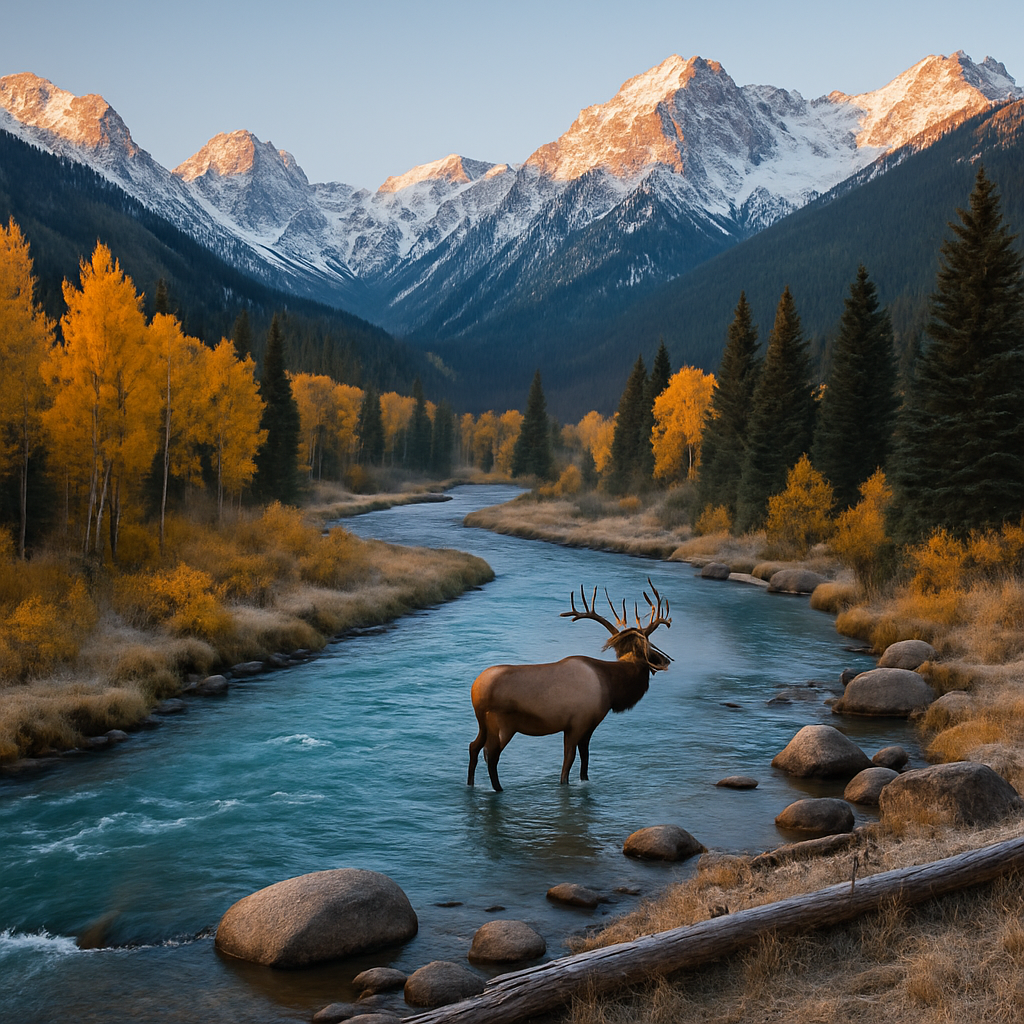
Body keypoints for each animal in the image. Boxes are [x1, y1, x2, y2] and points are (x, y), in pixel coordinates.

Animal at [467, 579, 672, 792]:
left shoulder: (587, 726)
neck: (611, 687)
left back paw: (471, 784)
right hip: (503, 725)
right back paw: (498, 788)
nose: (666, 660)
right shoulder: (578, 723)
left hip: (482, 723)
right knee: (491, 755)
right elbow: (568, 762)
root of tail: (476, 689)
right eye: (649, 647)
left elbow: (585, 759)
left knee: (474, 746)